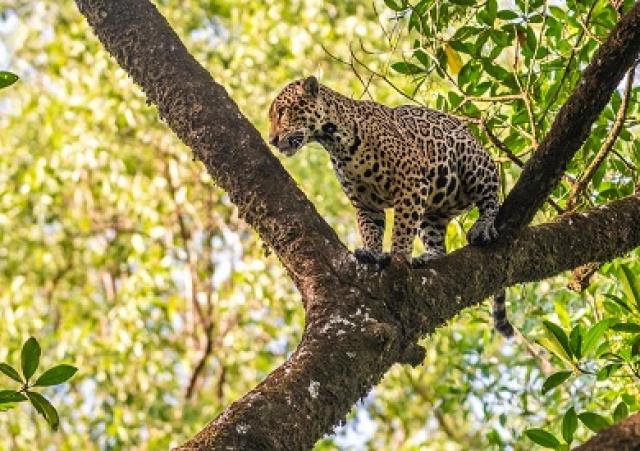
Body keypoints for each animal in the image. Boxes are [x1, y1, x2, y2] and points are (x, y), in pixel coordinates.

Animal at [268, 76, 513, 337]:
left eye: (282, 112)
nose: (272, 140)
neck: (334, 140)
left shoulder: (411, 183)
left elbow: (402, 228)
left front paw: (399, 255)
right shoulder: (365, 204)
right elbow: (371, 230)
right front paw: (372, 253)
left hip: (472, 159)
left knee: (490, 196)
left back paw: (483, 225)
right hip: (433, 212)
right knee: (438, 242)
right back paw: (427, 257)